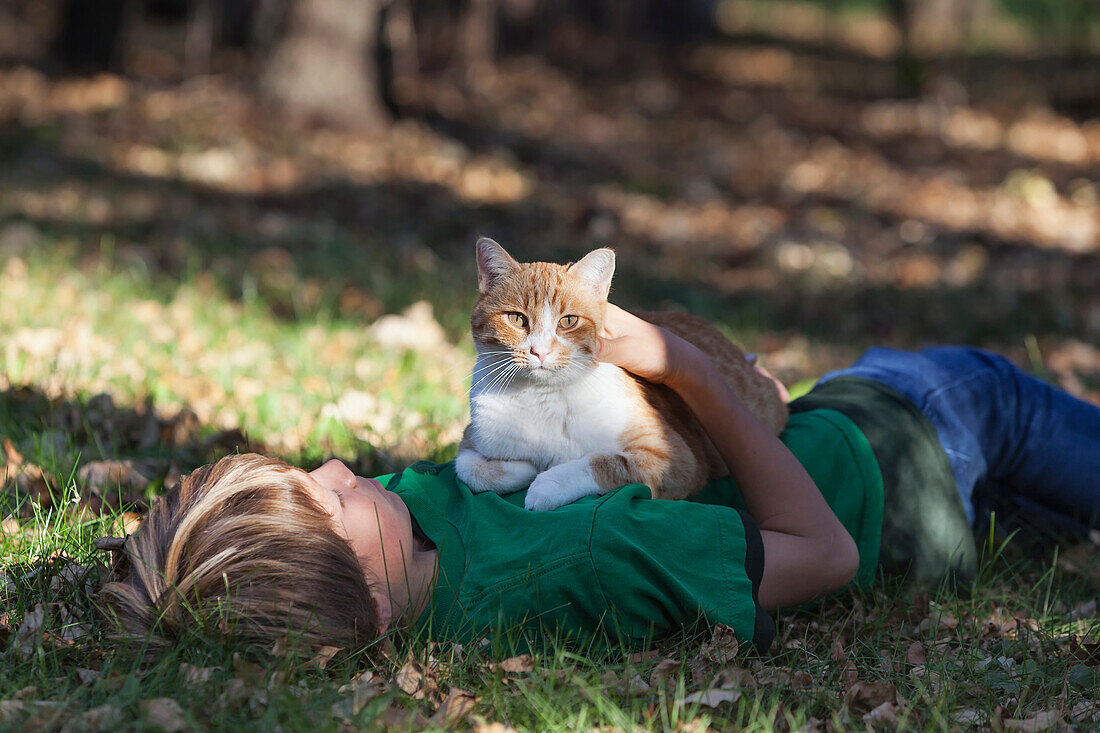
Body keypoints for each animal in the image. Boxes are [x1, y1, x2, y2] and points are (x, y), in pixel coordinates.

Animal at [455, 236, 792, 510]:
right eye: (516, 319)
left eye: (568, 322)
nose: (540, 351)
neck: (542, 399)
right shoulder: (472, 438)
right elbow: (469, 469)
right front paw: (528, 467)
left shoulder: (677, 459)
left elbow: (603, 463)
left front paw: (547, 483)